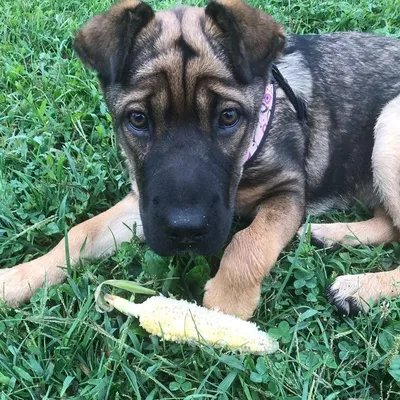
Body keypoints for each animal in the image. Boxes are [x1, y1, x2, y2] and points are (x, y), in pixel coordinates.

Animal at [0, 0, 400, 318]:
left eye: (228, 117)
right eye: (138, 119)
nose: (185, 231)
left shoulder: (288, 190)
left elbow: (249, 242)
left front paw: (226, 307)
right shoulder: (147, 203)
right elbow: (81, 232)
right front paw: (17, 279)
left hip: (388, 129)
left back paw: (360, 288)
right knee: (390, 225)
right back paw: (328, 235)